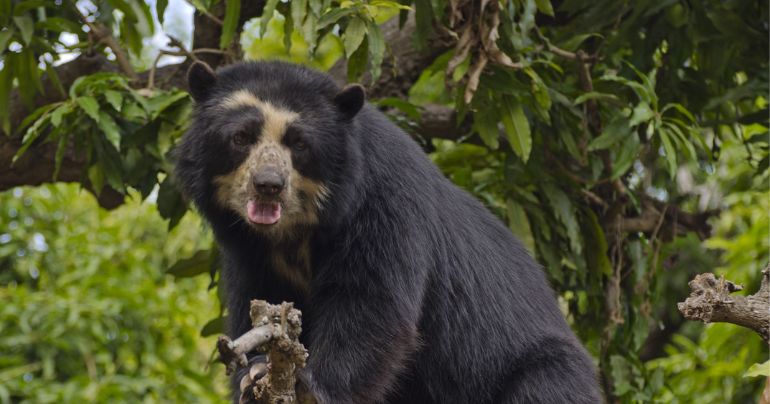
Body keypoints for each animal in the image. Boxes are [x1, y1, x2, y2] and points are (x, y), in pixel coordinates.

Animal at [176, 60, 600, 404]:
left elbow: (372, 304)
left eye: (299, 144)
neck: (296, 232)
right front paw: (256, 373)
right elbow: (260, 304)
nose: (268, 185)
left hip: (534, 368)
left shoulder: (384, 204)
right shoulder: (248, 252)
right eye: (241, 137)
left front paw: (312, 386)